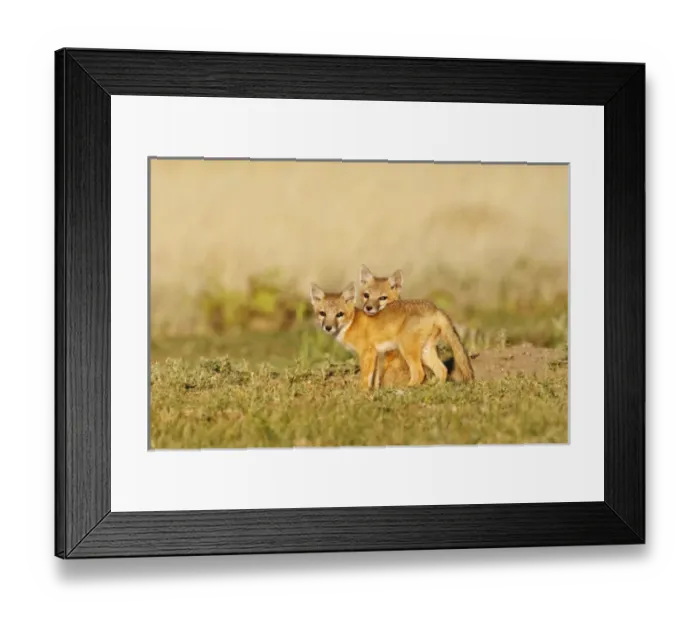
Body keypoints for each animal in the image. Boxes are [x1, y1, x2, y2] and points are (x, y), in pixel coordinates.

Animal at [310, 281, 475, 390]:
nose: (328, 327)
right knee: (442, 370)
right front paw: (374, 392)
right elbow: (374, 378)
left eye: (339, 314)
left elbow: (365, 377)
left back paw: (404, 390)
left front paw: (362, 394)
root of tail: (435, 308)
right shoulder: (376, 354)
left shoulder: (368, 352)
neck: (352, 323)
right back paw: (435, 388)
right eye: (322, 313)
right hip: (425, 351)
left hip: (407, 350)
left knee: (419, 374)